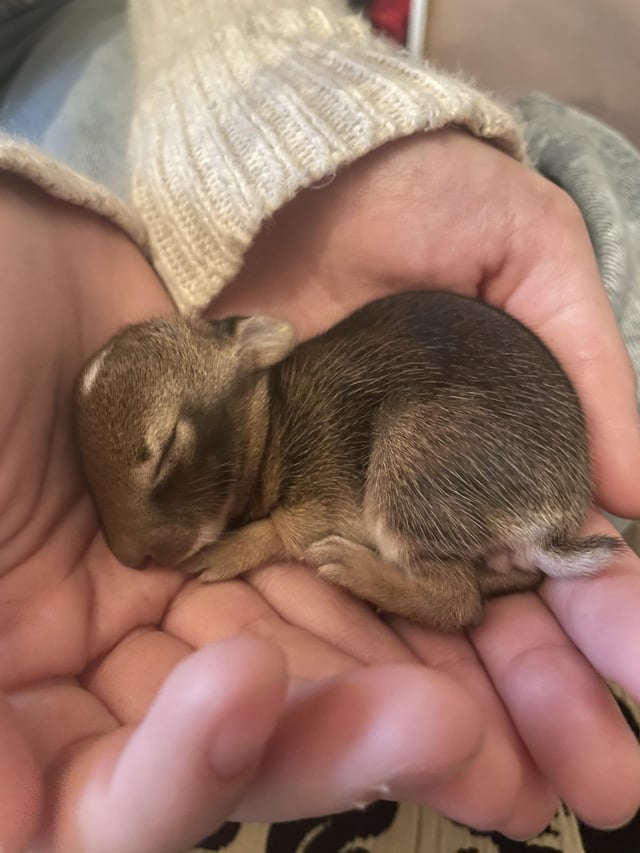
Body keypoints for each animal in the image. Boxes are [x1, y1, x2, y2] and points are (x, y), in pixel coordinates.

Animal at [73, 291, 623, 631]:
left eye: (167, 449)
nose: (130, 558)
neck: (269, 423)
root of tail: (550, 524)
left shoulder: (325, 494)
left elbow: (286, 530)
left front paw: (225, 553)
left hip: (409, 459)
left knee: (458, 599)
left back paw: (352, 568)